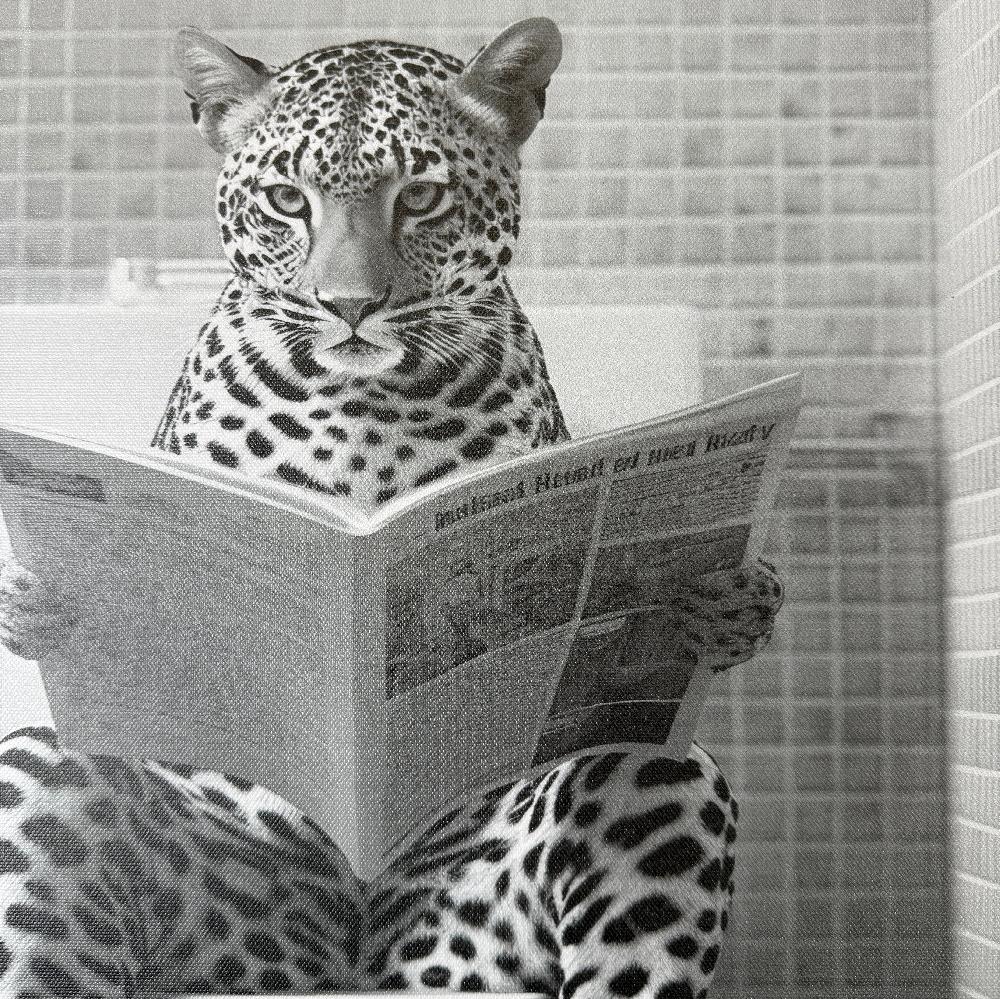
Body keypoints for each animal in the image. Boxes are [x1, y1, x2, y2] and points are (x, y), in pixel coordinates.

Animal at [0, 18, 785, 997]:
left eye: (421, 196)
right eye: (286, 199)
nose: (350, 306)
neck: (367, 412)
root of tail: (351, 942)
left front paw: (722, 599)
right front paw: (38, 603)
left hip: (603, 820)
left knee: (634, 760)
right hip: (57, 793)